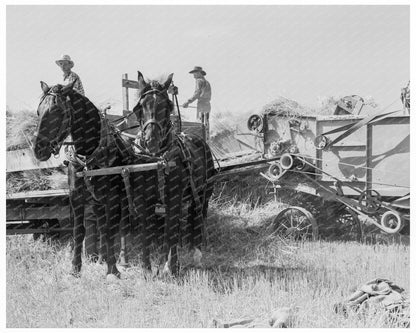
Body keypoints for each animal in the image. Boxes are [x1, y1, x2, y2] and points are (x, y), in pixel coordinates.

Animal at [34, 81, 135, 278]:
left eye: (57, 111)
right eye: (38, 111)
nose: (38, 150)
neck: (89, 156)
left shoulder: (112, 199)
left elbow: (112, 231)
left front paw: (113, 269)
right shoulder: (76, 196)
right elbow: (79, 231)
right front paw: (75, 268)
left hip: (123, 198)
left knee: (123, 226)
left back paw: (122, 260)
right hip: (97, 202)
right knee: (101, 226)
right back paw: (103, 258)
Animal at [132, 71, 214, 274]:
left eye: (167, 106)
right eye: (140, 106)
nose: (151, 140)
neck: (157, 161)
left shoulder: (174, 198)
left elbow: (170, 232)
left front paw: (171, 267)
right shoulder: (144, 200)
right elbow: (147, 233)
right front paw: (147, 268)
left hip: (204, 192)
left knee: (198, 217)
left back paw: (196, 253)